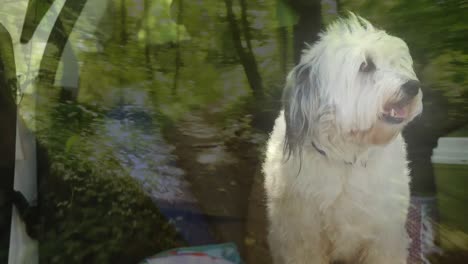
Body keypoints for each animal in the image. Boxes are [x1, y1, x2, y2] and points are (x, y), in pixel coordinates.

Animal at [264, 13, 424, 262]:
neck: (348, 155)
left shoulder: (385, 236)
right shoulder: (302, 240)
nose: (413, 86)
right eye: (366, 66)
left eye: (395, 63)